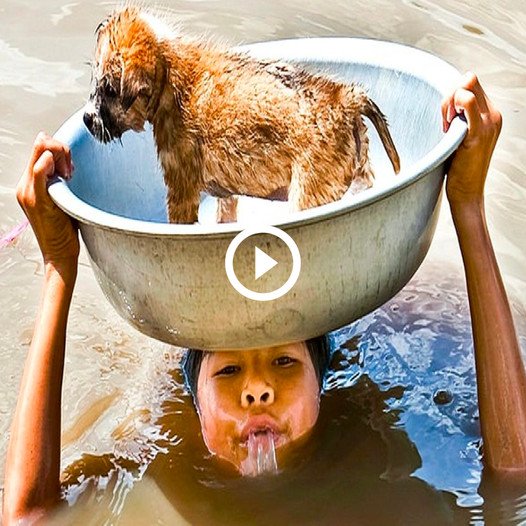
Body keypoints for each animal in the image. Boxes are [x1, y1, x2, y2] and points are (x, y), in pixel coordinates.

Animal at [84, 6, 402, 225]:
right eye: (94, 82)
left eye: (109, 89)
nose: (87, 119)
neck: (169, 75)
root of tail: (345, 97)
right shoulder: (225, 197)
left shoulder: (181, 188)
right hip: (360, 175)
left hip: (309, 194)